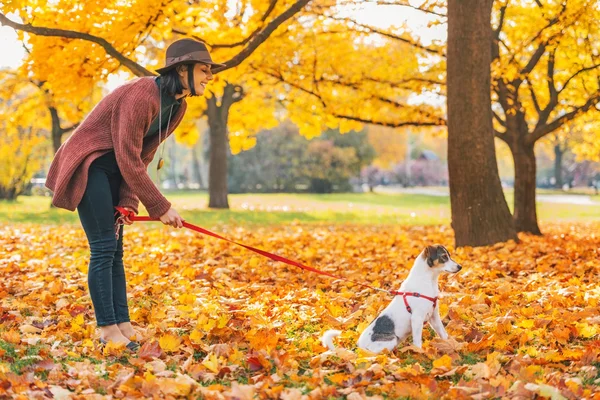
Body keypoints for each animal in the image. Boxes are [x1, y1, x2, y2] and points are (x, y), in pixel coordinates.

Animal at [322, 244, 462, 354]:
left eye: (449, 256)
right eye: (444, 257)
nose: (460, 266)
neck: (428, 281)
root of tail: (358, 349)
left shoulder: (434, 316)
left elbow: (443, 334)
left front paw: (450, 344)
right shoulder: (417, 318)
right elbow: (418, 342)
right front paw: (420, 353)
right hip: (391, 340)